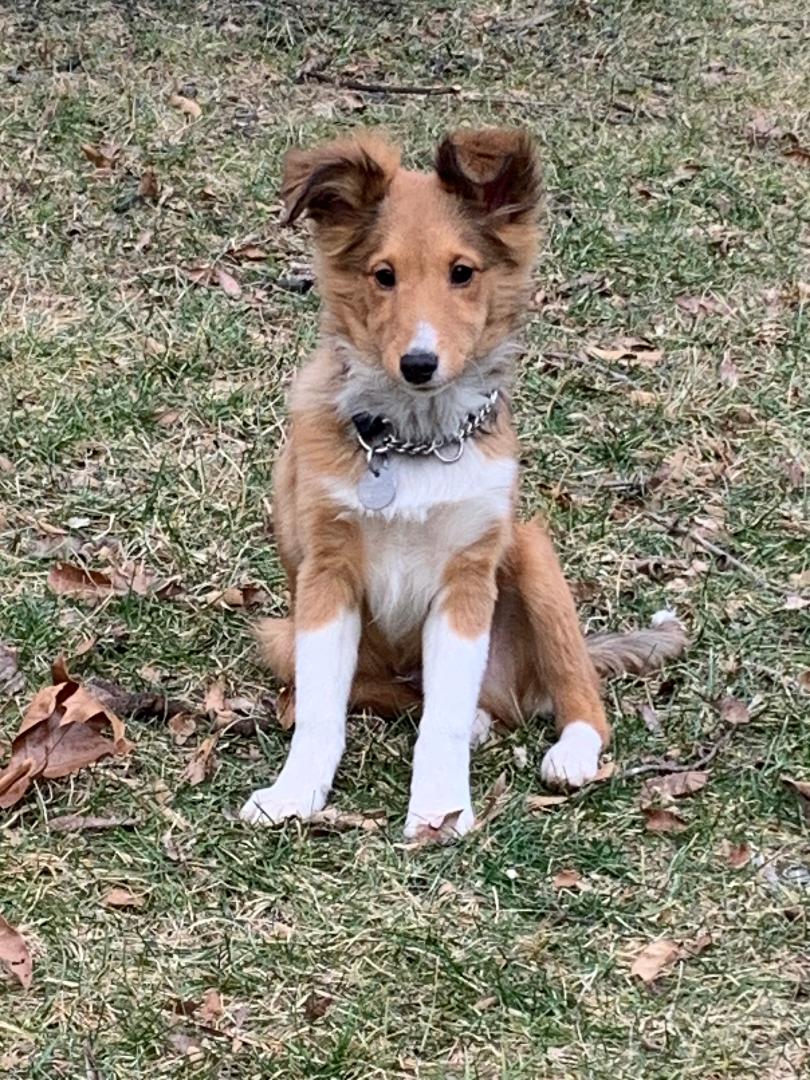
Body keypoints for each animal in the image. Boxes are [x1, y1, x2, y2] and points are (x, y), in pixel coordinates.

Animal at [239, 124, 686, 833]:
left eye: (462, 273)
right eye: (384, 276)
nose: (419, 364)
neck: (414, 442)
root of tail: (515, 690)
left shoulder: (467, 578)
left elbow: (441, 724)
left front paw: (439, 810)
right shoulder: (327, 575)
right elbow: (319, 713)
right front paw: (295, 793)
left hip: (531, 553)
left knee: (577, 690)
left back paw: (572, 750)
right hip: (278, 635)